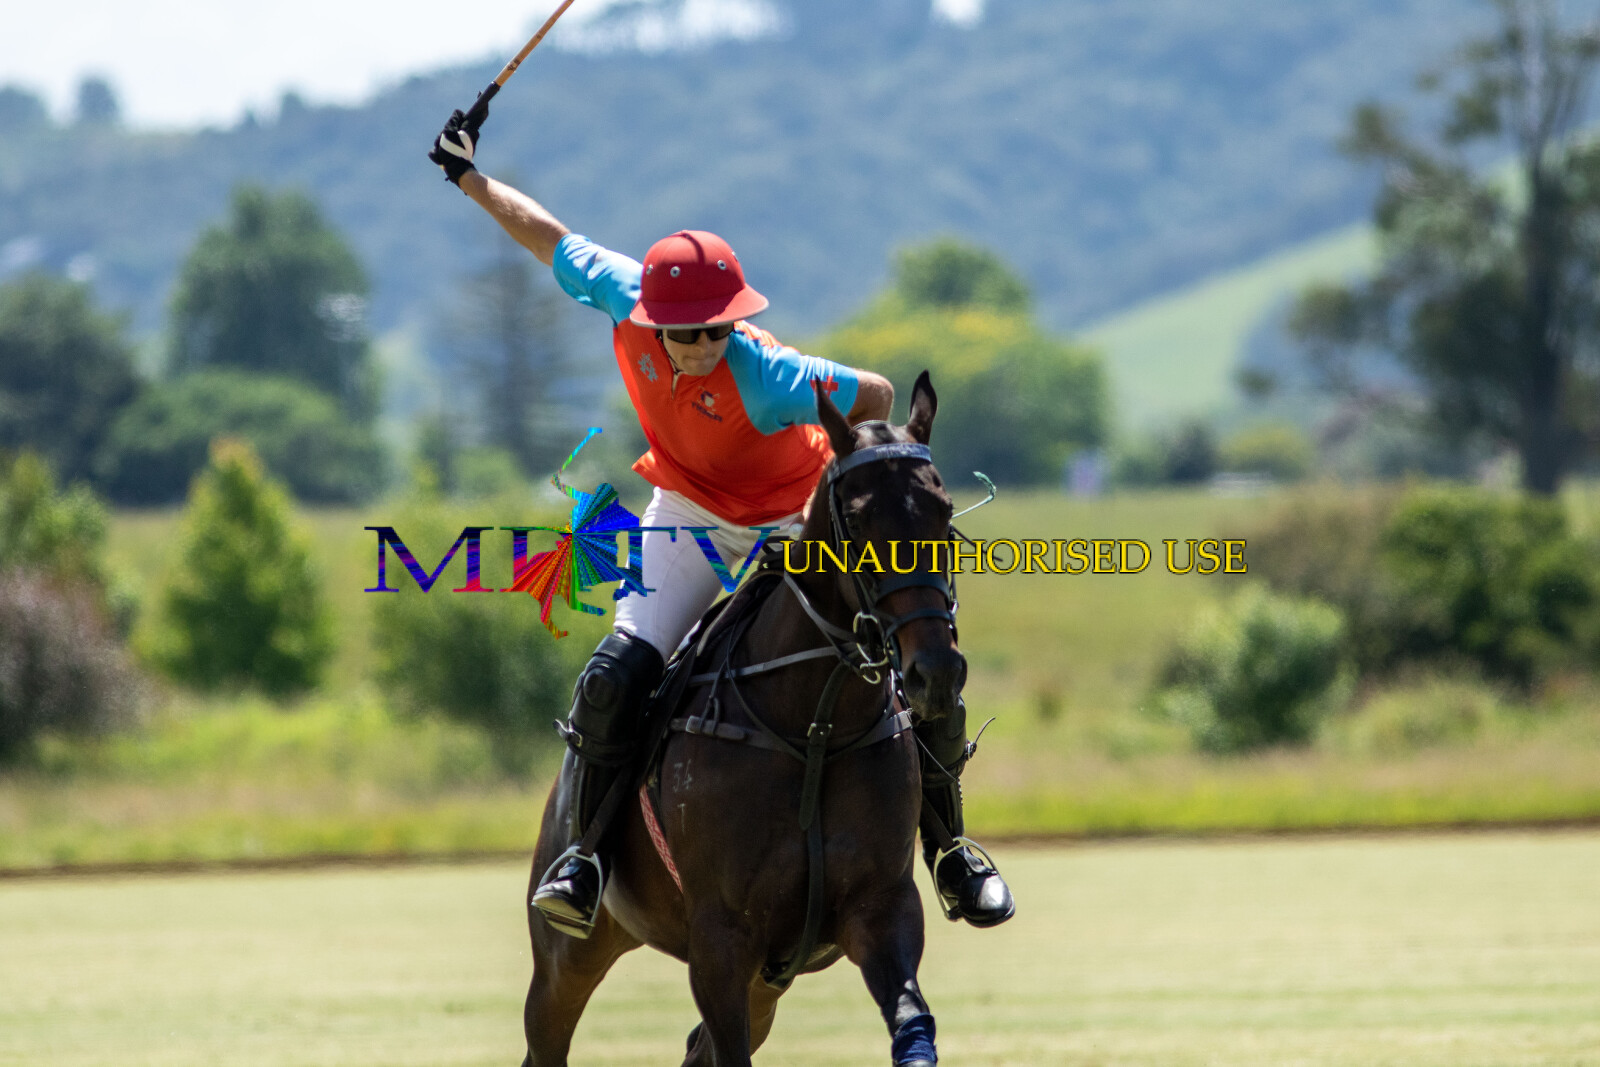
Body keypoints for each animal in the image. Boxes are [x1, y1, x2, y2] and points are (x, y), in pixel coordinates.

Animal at [519, 371, 966, 1067]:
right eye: (858, 519)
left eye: (943, 513)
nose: (936, 673)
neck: (814, 729)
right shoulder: (721, 940)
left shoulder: (881, 909)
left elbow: (911, 1023)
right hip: (566, 954)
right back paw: (571, 882)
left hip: (767, 986)